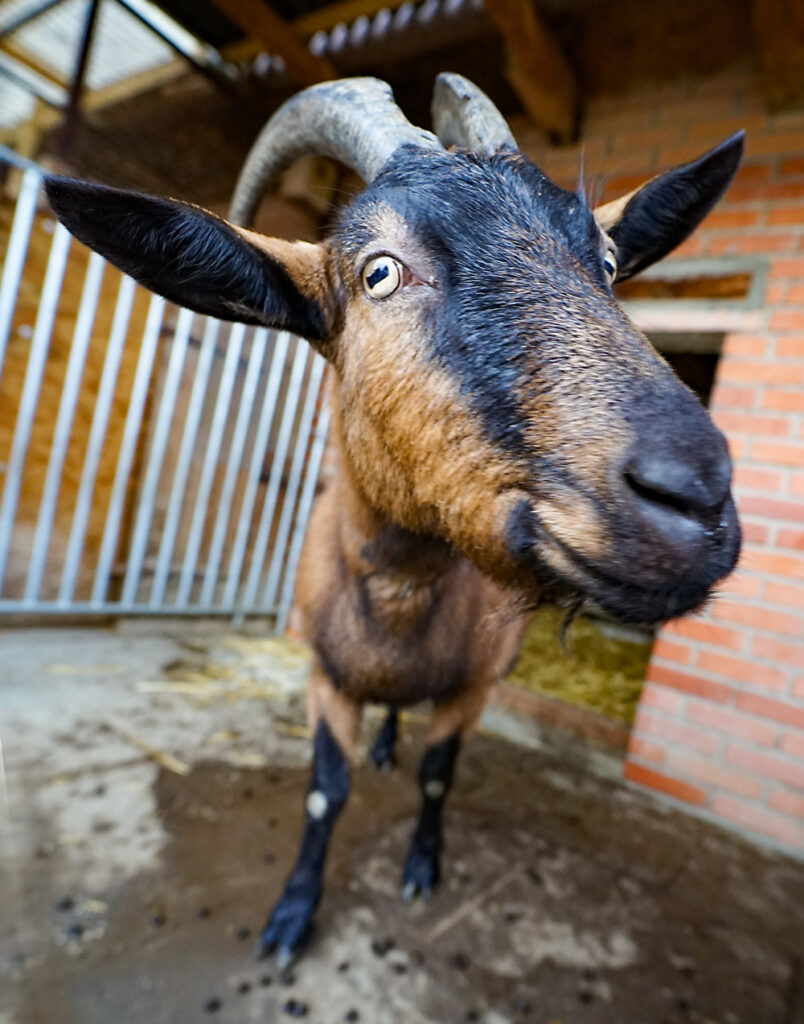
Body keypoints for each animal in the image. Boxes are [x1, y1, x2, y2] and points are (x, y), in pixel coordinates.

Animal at [45, 74, 743, 965]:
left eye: (611, 262)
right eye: (379, 272)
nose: (696, 495)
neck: (401, 596)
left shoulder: (474, 687)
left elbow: (438, 775)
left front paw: (421, 866)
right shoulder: (323, 675)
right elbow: (324, 793)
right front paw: (290, 917)